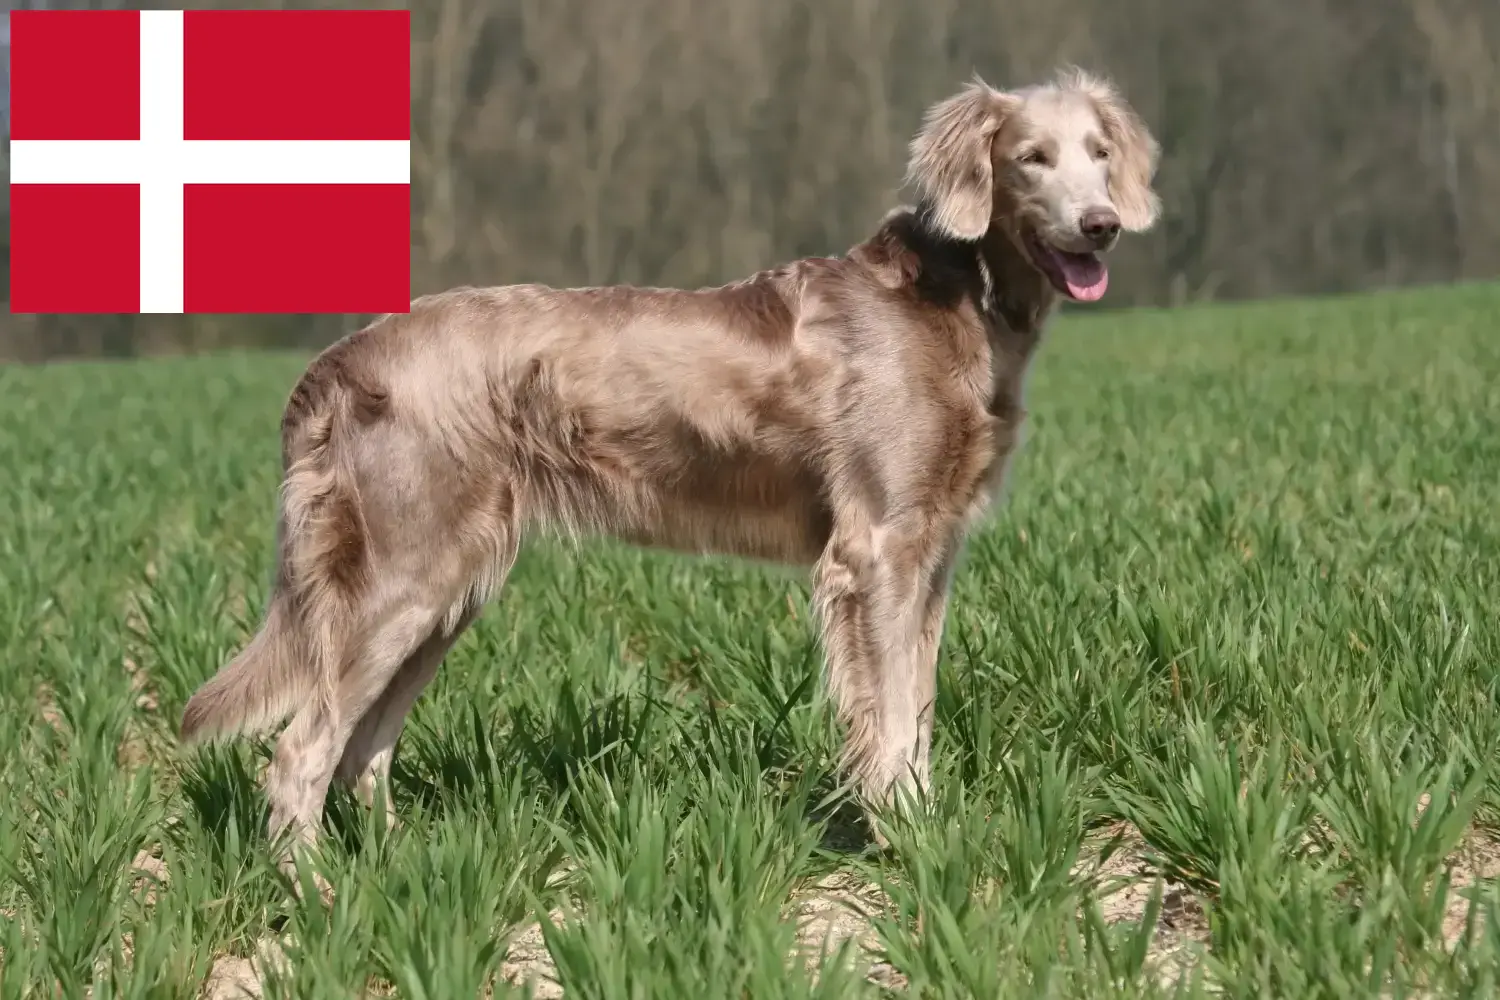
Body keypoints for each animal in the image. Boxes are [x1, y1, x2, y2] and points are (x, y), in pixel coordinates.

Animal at [178, 68, 1158, 851]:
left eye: (1099, 152)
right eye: (1031, 158)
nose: (1101, 225)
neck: (958, 297)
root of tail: (344, 356)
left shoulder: (932, 551)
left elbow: (912, 712)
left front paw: (926, 831)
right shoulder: (877, 549)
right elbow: (886, 723)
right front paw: (911, 847)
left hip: (447, 589)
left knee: (363, 752)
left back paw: (400, 885)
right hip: (401, 580)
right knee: (300, 752)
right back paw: (319, 907)